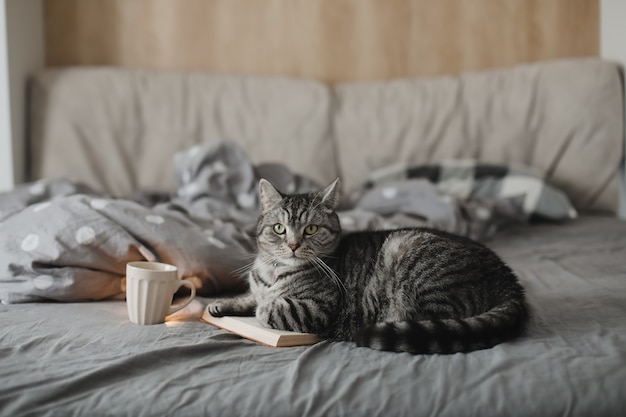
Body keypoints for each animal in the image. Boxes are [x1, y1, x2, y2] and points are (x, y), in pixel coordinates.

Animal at [208, 177, 528, 352]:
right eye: (278, 229)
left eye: (310, 229)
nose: (293, 245)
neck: (273, 272)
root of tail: (507, 276)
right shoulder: (258, 287)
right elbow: (249, 296)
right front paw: (222, 304)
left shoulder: (314, 308)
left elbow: (268, 308)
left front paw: (259, 306)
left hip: (412, 259)